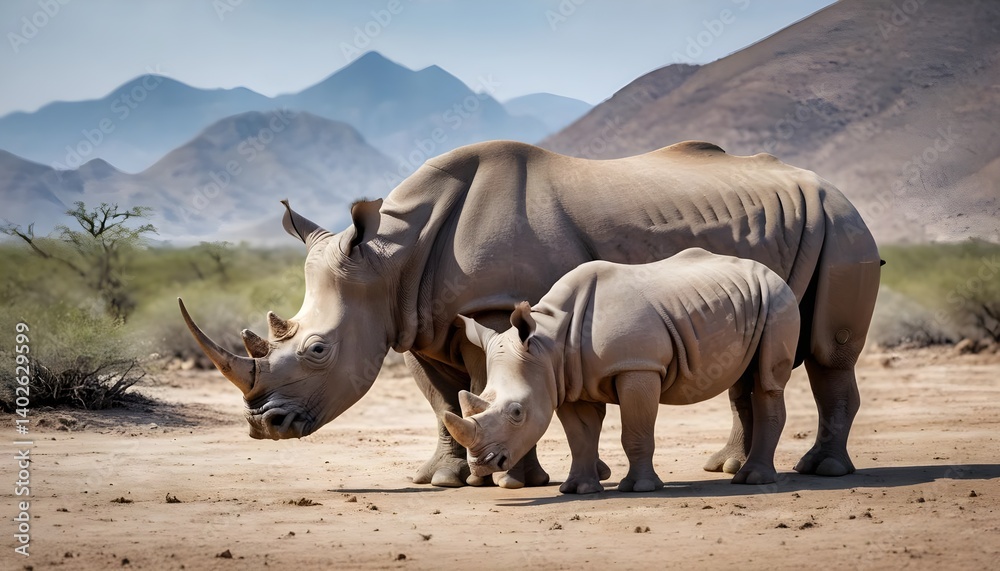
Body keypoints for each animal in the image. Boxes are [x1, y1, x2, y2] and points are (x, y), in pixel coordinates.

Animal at [443, 248, 801, 493]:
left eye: (517, 412)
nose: (482, 464)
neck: (548, 343)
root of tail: (772, 273)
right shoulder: (565, 380)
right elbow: (580, 435)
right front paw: (578, 490)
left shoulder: (638, 367)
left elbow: (635, 432)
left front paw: (641, 487)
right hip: (749, 299)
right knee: (747, 378)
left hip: (778, 297)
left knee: (768, 381)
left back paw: (753, 480)